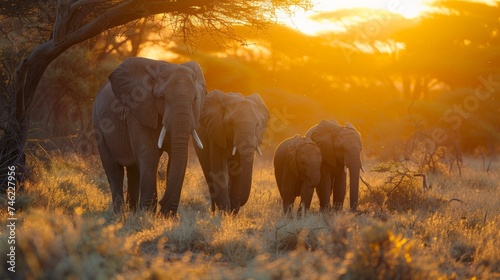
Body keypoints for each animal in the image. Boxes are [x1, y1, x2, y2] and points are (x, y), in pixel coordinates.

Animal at [93, 57, 206, 217]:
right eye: (162, 98)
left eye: (195, 99)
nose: (161, 203)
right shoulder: (137, 110)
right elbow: (149, 154)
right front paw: (147, 214)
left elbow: (177, 158)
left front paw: (166, 217)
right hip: (98, 124)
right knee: (113, 168)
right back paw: (119, 214)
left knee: (133, 170)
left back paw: (132, 212)